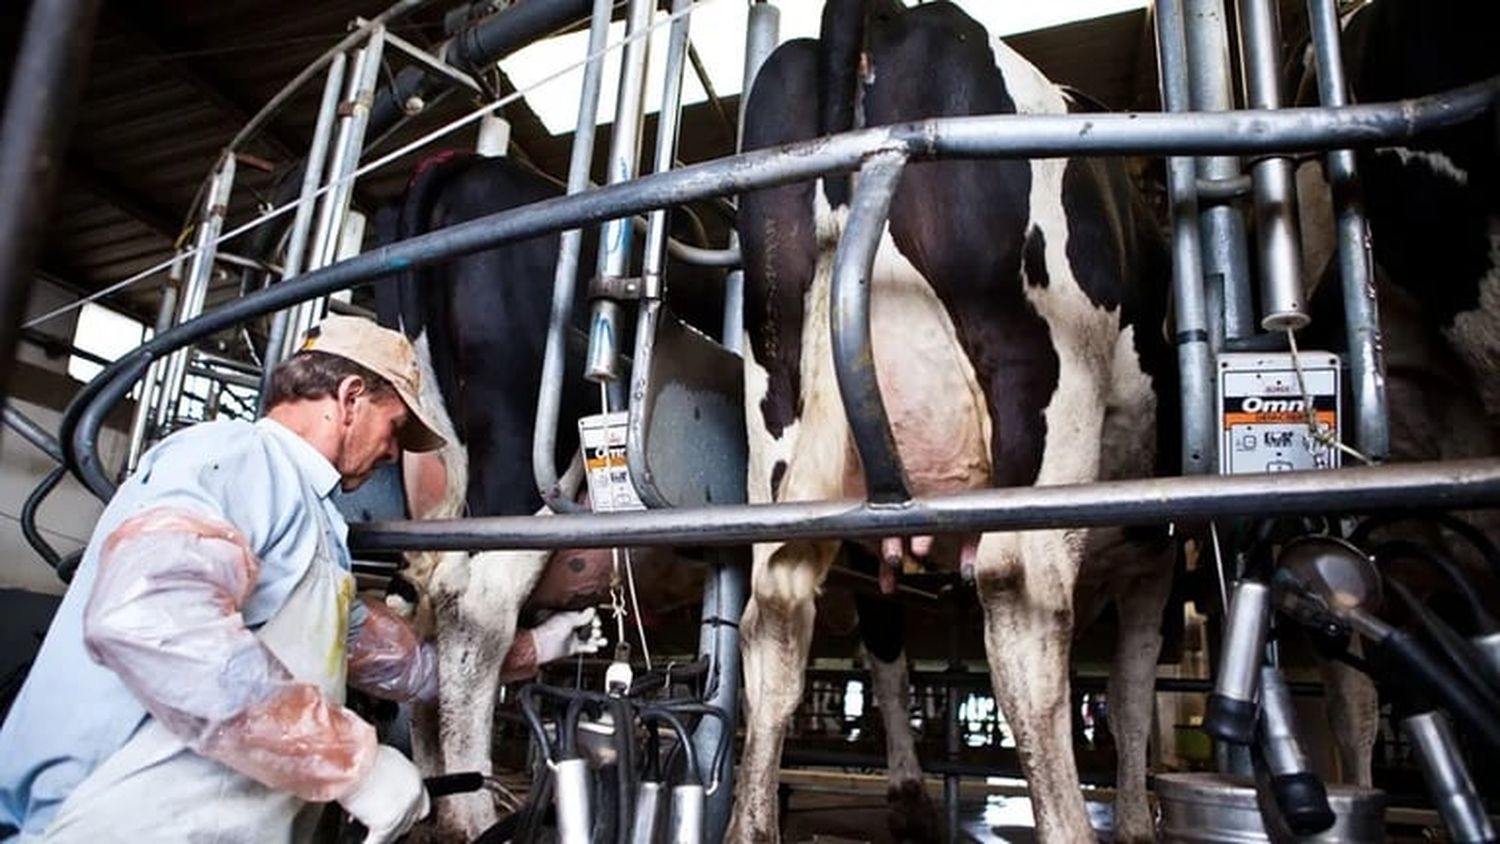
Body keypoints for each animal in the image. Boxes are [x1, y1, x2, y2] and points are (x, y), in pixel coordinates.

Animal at [732, 3, 1176, 839]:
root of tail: (890, 15)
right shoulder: (1159, 554)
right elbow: (1134, 697)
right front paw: (1137, 819)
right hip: (1044, 380)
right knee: (1023, 603)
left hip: (780, 405)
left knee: (776, 608)